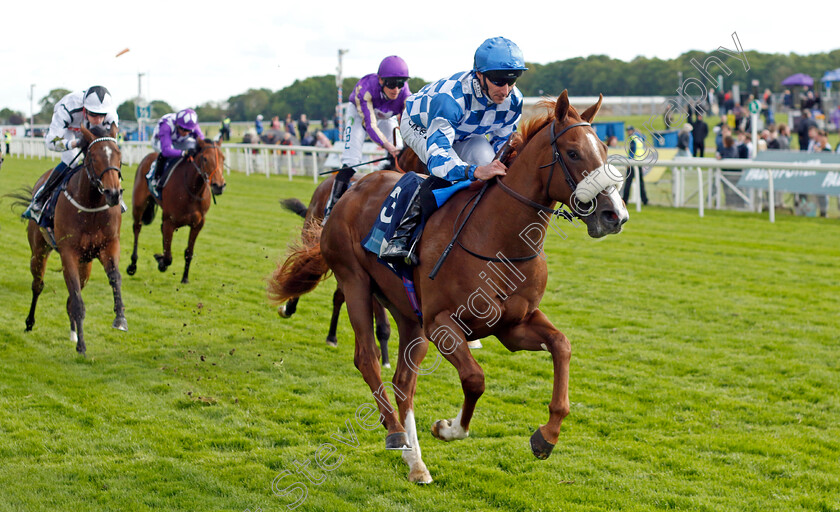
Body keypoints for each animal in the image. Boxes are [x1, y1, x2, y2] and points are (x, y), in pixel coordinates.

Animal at [20, 124, 126, 356]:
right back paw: (30, 322)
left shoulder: (109, 245)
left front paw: (120, 318)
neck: (91, 205)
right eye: (93, 156)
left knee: (70, 295)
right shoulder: (68, 252)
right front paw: (82, 346)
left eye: (118, 154)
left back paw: (73, 332)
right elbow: (77, 300)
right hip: (39, 251)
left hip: (85, 264)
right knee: (38, 285)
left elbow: (115, 278)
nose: (113, 193)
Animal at [126, 139, 225, 284]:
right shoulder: (170, 221)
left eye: (223, 158)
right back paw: (133, 265)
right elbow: (168, 257)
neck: (192, 190)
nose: (219, 186)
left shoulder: (198, 224)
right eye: (205, 159)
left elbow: (189, 252)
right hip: (139, 205)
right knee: (137, 228)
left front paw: (185, 278)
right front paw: (161, 262)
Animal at [270, 93, 632, 484]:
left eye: (604, 150)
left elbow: (562, 345)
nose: (615, 215)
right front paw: (448, 428)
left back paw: (415, 462)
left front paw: (546, 436)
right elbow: (475, 379)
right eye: (573, 152)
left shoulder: (513, 326)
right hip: (356, 283)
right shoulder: (442, 324)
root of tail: (352, 190)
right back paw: (394, 431)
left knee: (403, 381)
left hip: (408, 314)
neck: (497, 238)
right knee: (366, 358)